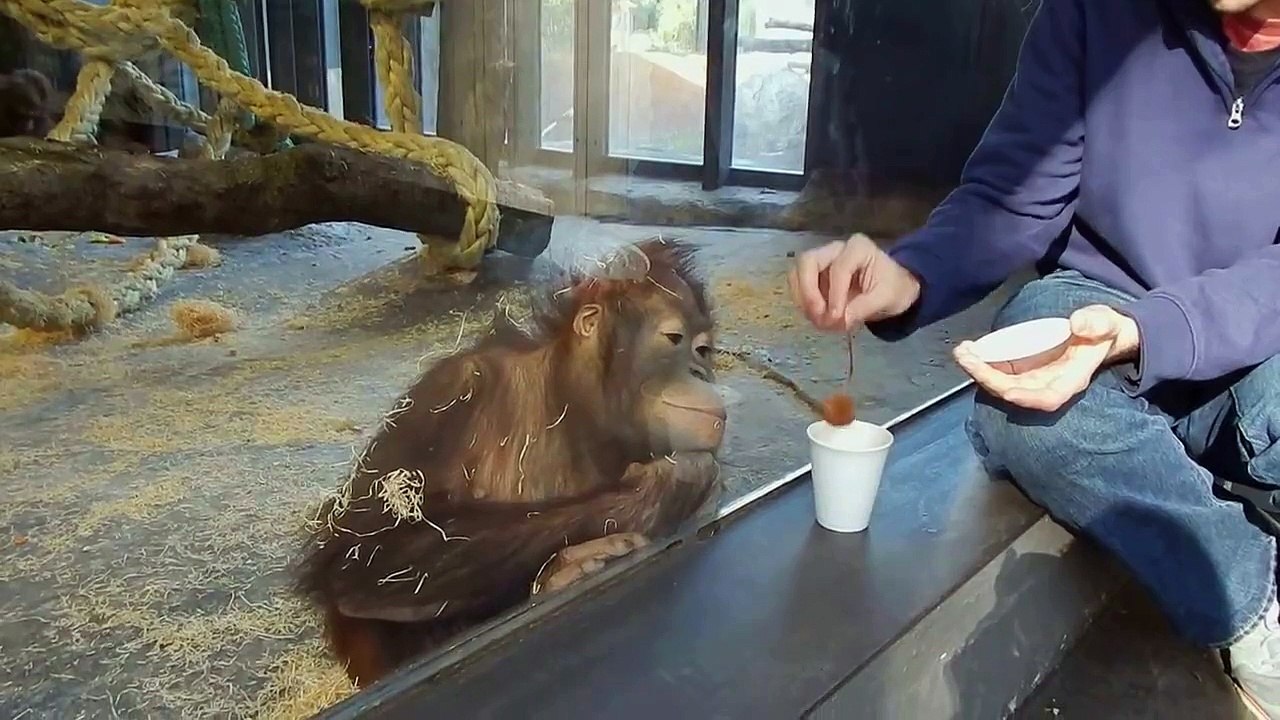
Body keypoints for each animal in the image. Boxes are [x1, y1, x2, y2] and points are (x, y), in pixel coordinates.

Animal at [292, 238, 728, 687]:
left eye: (703, 351)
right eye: (674, 339)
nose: (700, 372)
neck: (571, 404)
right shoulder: (447, 393)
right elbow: (368, 550)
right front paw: (670, 485)